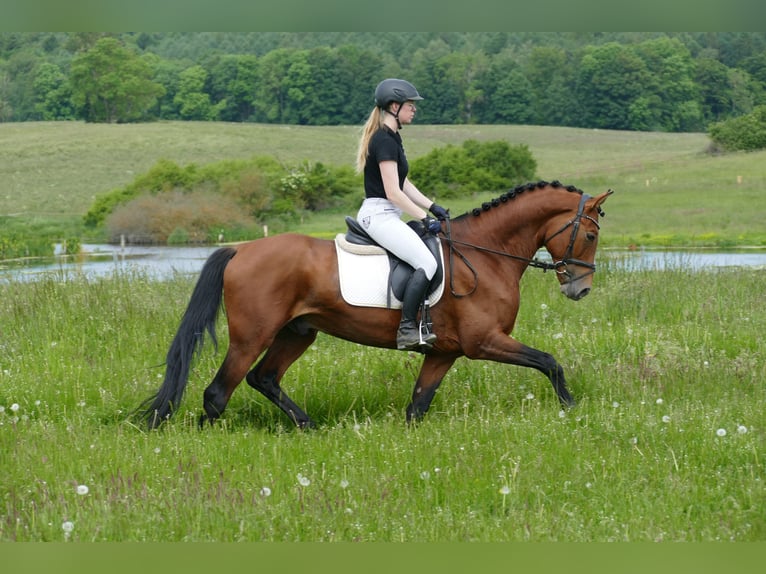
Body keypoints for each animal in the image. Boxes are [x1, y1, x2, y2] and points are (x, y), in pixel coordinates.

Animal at [138, 180, 613, 430]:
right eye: (590, 235)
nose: (580, 290)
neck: (486, 253)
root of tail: (241, 249)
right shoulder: (484, 342)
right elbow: (550, 362)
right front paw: (572, 409)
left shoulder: (444, 352)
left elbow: (417, 406)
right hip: (252, 335)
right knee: (219, 391)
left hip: (298, 332)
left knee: (264, 378)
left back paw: (310, 428)